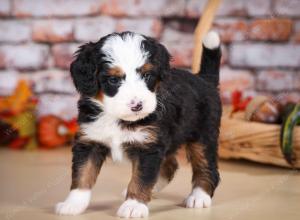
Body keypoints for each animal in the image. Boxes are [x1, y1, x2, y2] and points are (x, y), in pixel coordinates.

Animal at [55, 31, 223, 218]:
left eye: (147, 76)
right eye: (113, 80)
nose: (137, 105)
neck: (117, 118)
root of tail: (203, 78)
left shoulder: (147, 147)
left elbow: (141, 178)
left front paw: (133, 205)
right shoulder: (90, 141)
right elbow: (83, 174)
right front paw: (73, 204)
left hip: (203, 136)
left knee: (206, 167)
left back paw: (199, 196)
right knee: (169, 166)